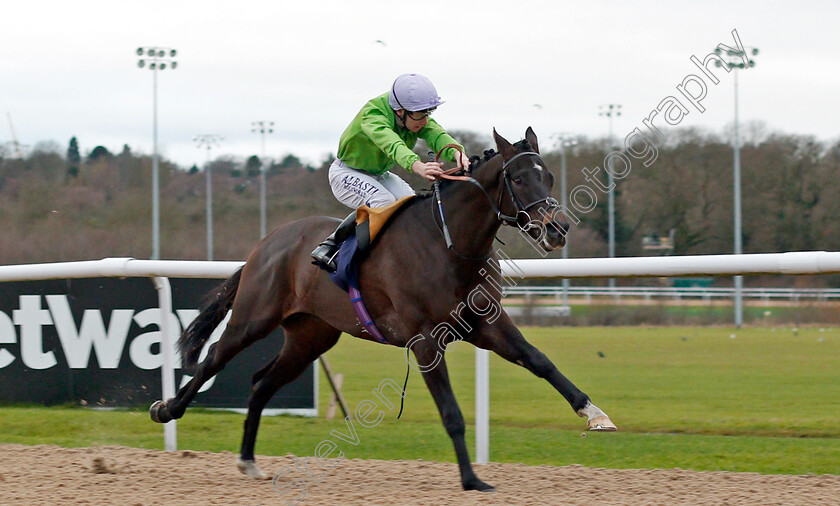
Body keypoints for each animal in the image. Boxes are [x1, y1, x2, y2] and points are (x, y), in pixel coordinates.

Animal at [148, 128, 612, 492]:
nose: (558, 229)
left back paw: (248, 460)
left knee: (262, 384)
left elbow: (540, 361)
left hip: (311, 336)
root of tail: (269, 241)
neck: (450, 245)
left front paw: (595, 414)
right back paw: (167, 409)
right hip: (254, 316)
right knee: (213, 358)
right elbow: (451, 412)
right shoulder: (426, 340)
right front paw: (471, 479)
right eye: (517, 177)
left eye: (549, 175)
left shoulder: (486, 323)